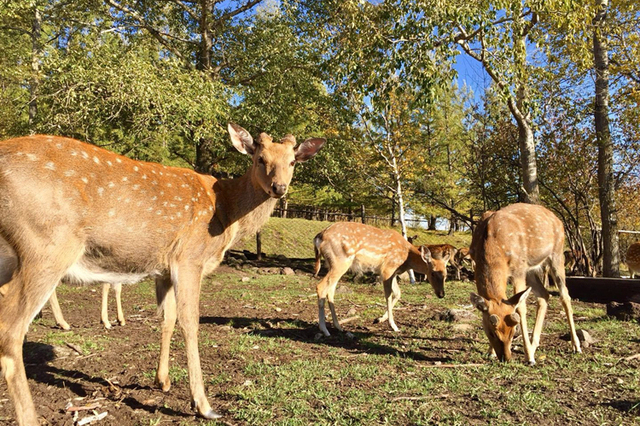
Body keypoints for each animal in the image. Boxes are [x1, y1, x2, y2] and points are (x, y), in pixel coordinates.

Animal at [0, 125, 324, 424]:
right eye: (260, 158)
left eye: (292, 162)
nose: (279, 188)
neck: (227, 216)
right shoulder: (189, 257)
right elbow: (190, 322)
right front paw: (202, 404)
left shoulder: (165, 269)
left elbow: (167, 319)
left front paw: (163, 381)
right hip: (47, 244)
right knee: (11, 328)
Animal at [312, 223, 448, 336]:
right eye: (433, 273)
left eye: (446, 275)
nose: (441, 294)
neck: (407, 259)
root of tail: (318, 238)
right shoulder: (388, 269)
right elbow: (388, 295)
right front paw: (393, 326)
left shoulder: (393, 272)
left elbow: (398, 293)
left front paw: (379, 319)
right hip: (340, 261)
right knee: (321, 286)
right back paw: (324, 329)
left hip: (334, 264)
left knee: (331, 290)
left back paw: (338, 326)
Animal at [468, 205, 584, 364]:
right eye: (491, 333)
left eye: (513, 332)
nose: (505, 358)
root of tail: (557, 220)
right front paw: (490, 352)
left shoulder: (518, 269)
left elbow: (521, 308)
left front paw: (529, 357)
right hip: (530, 270)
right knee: (544, 294)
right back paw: (535, 344)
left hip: (556, 254)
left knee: (565, 295)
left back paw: (576, 346)